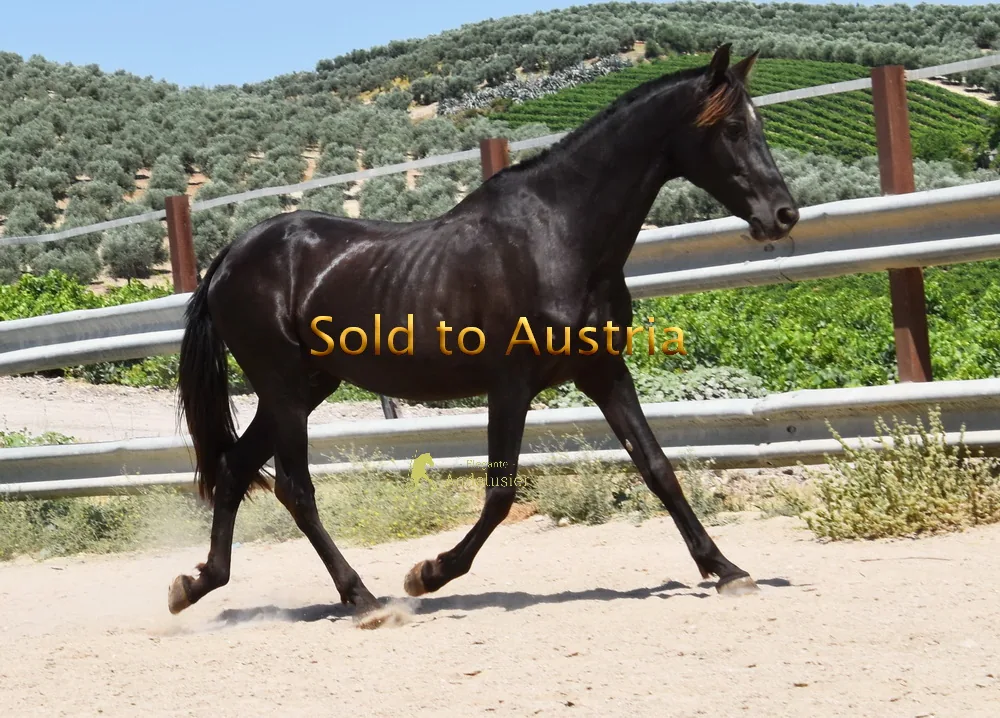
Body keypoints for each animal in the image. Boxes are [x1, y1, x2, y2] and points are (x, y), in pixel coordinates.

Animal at [168, 43, 799, 626]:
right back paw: (364, 599)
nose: (784, 215)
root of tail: (231, 257)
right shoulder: (510, 384)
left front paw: (727, 570)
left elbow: (658, 468)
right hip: (284, 388)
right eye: (733, 128)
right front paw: (427, 573)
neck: (559, 235)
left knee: (236, 470)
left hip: (304, 386)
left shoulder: (604, 372)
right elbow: (500, 493)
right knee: (294, 489)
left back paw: (194, 585)